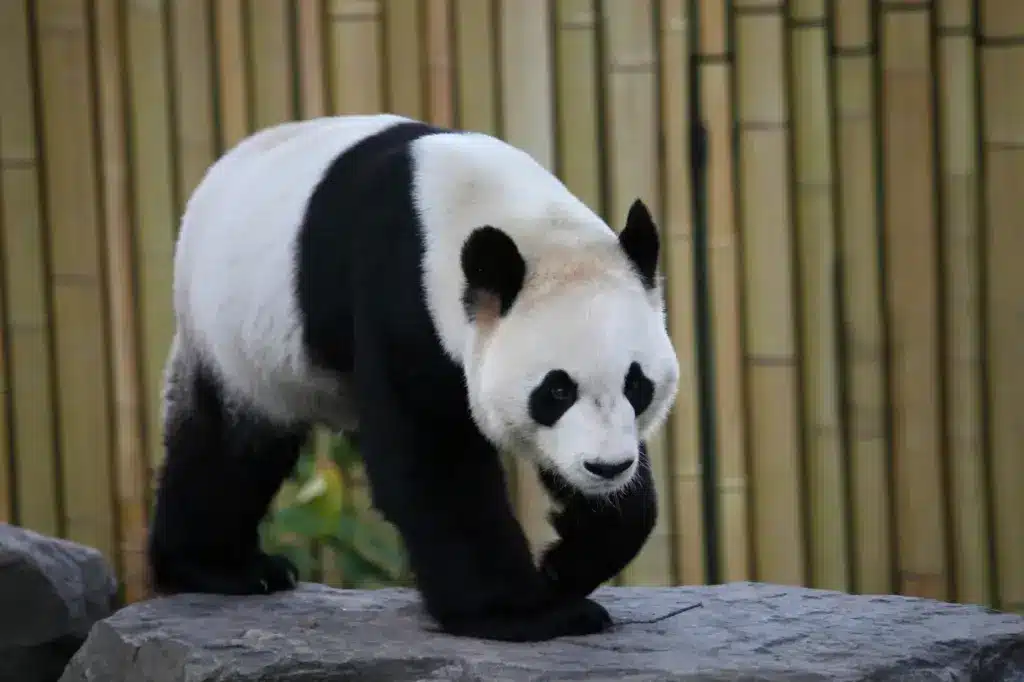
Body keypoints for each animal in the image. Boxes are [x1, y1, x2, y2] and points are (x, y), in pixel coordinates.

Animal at [146, 112, 679, 643]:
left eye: (637, 385)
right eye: (556, 390)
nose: (607, 467)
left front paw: (566, 565)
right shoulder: (401, 297)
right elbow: (434, 463)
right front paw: (525, 614)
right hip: (235, 338)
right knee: (229, 448)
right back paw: (220, 568)